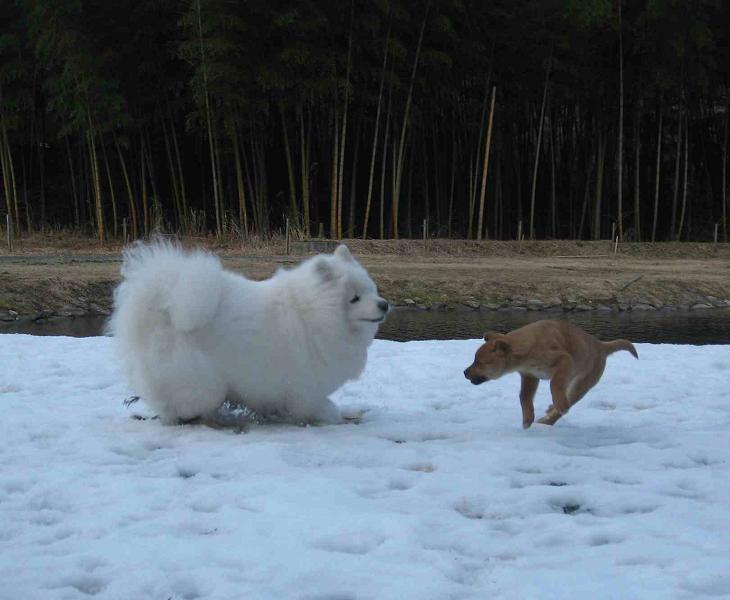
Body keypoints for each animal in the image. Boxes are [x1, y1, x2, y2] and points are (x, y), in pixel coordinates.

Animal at [106, 241, 386, 424]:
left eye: (371, 289)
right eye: (354, 298)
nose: (384, 304)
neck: (314, 313)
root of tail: (157, 307)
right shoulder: (306, 389)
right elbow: (321, 407)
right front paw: (336, 416)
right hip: (202, 381)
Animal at [464, 318, 636, 426]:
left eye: (479, 363)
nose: (464, 372)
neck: (526, 349)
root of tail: (602, 346)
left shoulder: (564, 360)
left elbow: (554, 383)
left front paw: (559, 404)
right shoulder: (530, 375)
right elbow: (524, 397)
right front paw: (527, 418)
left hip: (581, 384)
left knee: (565, 403)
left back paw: (552, 414)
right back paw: (549, 409)